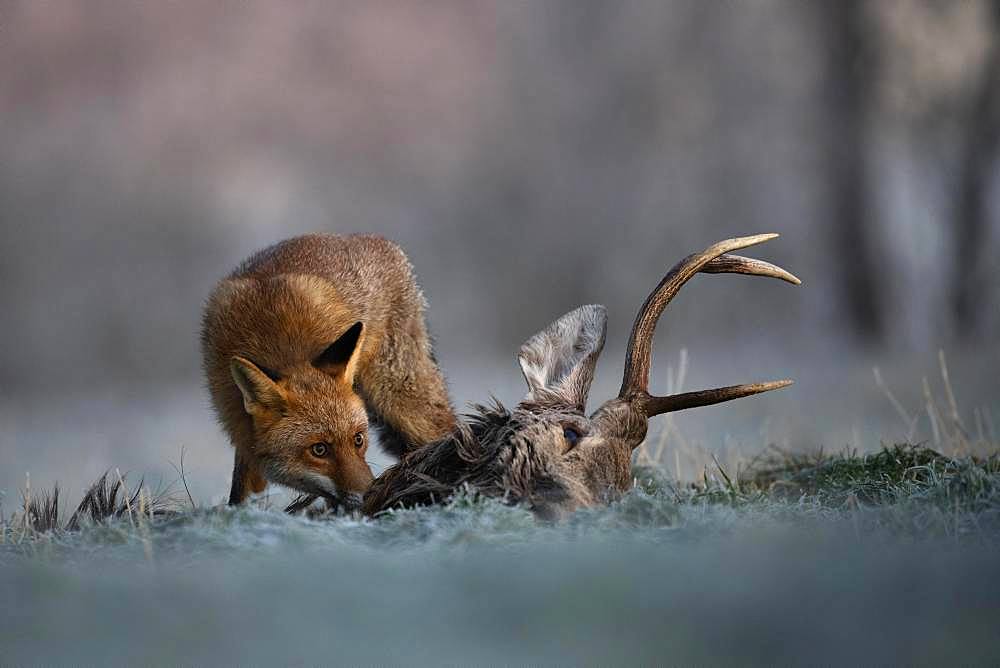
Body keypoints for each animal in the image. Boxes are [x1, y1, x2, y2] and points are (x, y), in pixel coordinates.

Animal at [200, 235, 458, 506]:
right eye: (319, 449)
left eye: (358, 439)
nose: (370, 495)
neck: (275, 343)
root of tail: (379, 241)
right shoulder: (240, 427)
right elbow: (242, 491)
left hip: (403, 402)